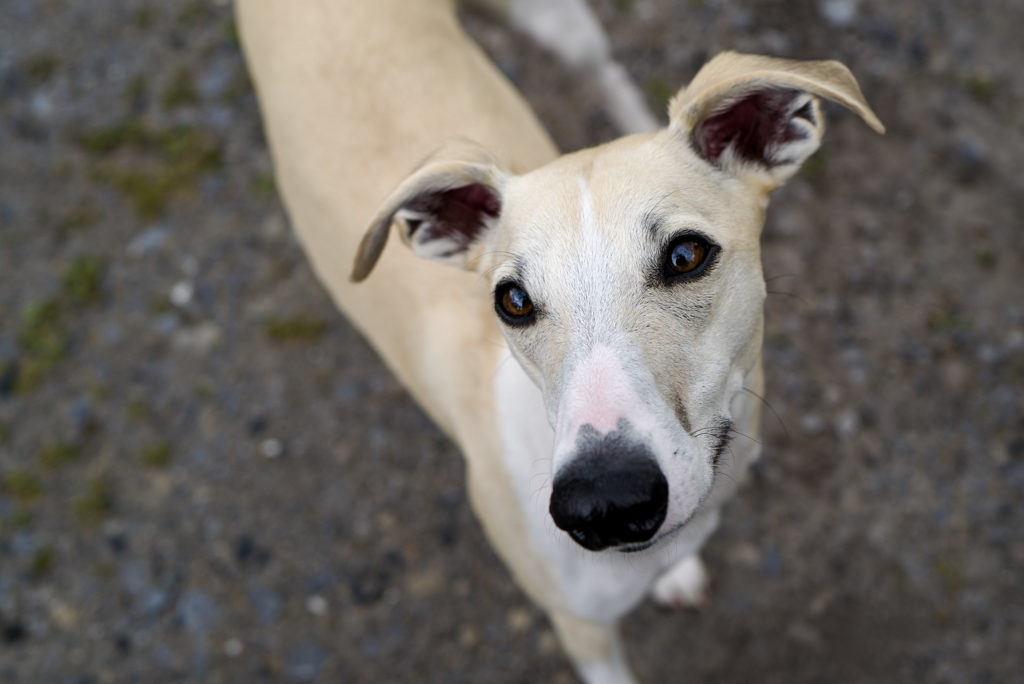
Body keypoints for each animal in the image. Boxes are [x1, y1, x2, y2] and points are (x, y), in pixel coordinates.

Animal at [235, 2, 884, 679]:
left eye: (685, 255)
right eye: (512, 299)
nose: (605, 504)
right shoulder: (582, 630)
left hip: (565, 27)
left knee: (603, 69)